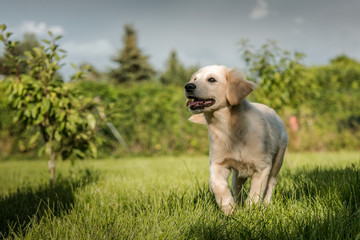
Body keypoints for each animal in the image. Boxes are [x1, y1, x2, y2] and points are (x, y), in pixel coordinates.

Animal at [184, 64, 288, 215]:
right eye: (195, 79)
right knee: (237, 188)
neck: (228, 127)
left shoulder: (262, 167)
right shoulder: (218, 163)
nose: (188, 86)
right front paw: (229, 208)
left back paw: (266, 205)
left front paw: (251, 211)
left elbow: (255, 193)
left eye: (211, 79)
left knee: (271, 184)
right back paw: (237, 205)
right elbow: (217, 184)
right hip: (238, 175)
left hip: (277, 160)